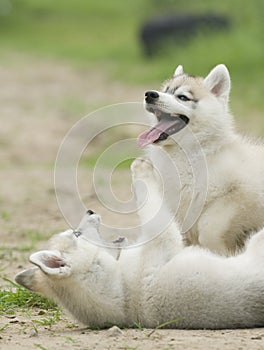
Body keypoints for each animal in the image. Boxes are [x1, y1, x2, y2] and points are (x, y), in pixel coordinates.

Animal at [14, 159, 264, 328]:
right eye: (76, 234)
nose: (90, 210)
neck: (123, 290)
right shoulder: (164, 236)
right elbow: (149, 203)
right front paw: (141, 169)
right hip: (256, 242)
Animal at [137, 63, 264, 254]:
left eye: (182, 97)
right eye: (166, 90)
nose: (150, 94)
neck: (189, 154)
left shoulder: (242, 195)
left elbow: (209, 225)